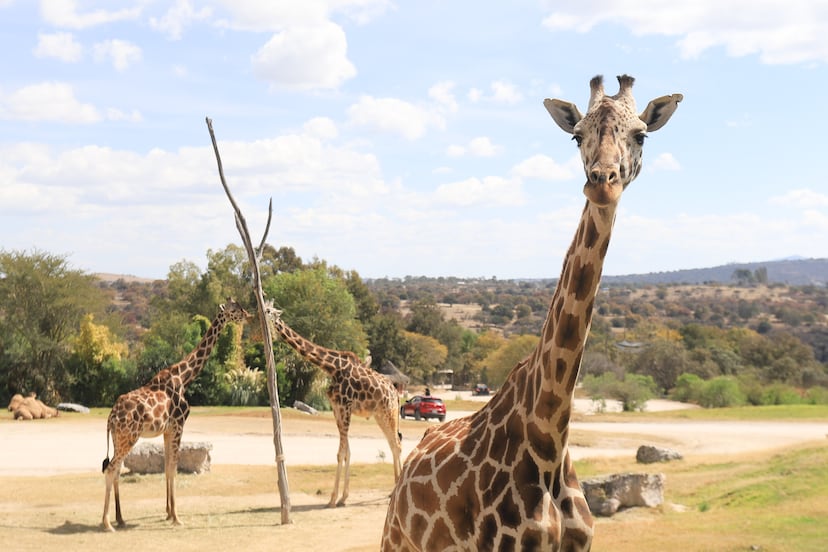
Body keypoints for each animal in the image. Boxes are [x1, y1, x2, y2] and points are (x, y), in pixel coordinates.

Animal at [101, 298, 251, 532]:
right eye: (235, 309)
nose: (249, 316)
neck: (184, 377)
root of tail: (111, 417)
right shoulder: (179, 424)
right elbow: (173, 468)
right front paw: (177, 517)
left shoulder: (167, 429)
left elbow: (166, 467)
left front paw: (168, 513)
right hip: (129, 437)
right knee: (110, 469)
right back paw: (107, 523)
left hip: (119, 438)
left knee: (115, 470)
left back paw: (120, 518)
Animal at [263, 302, 402, 507]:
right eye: (264, 308)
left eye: (270, 311)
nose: (260, 316)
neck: (331, 368)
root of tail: (396, 394)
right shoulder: (337, 408)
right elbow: (346, 452)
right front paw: (342, 497)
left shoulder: (345, 407)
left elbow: (341, 453)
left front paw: (333, 499)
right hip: (379, 415)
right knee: (393, 444)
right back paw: (393, 490)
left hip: (388, 412)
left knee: (397, 444)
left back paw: (395, 490)